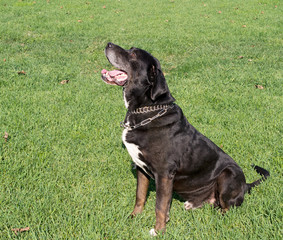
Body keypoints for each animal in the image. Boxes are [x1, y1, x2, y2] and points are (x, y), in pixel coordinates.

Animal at [101, 42, 270, 235]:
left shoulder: (164, 173)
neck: (147, 109)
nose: (108, 44)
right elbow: (140, 196)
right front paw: (133, 217)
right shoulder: (141, 168)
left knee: (228, 207)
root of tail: (245, 185)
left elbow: (160, 205)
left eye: (134, 54)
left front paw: (158, 230)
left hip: (228, 173)